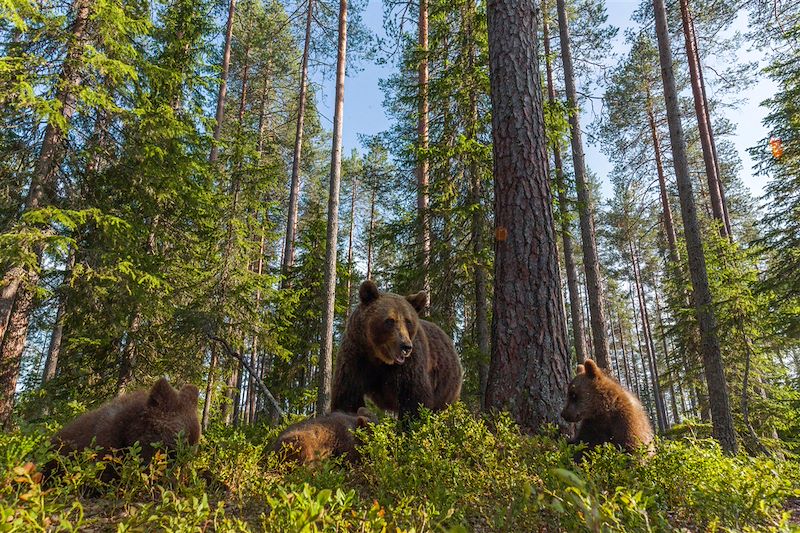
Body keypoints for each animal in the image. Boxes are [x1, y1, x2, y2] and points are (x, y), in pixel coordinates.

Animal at [330, 280, 462, 418]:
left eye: (408, 321)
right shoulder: (356, 355)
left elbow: (414, 400)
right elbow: (348, 396)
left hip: (446, 384)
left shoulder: (409, 366)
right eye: (390, 320)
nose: (406, 346)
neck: (379, 357)